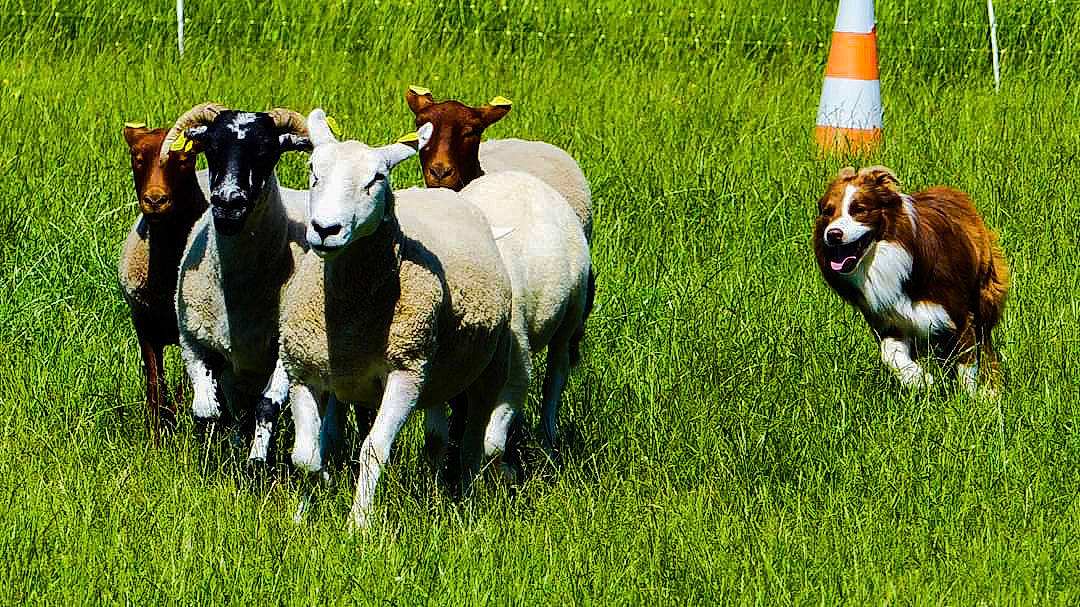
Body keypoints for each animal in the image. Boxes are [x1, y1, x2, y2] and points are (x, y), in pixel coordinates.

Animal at [118, 122, 209, 444]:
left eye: (185, 159)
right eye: (137, 158)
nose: (155, 200)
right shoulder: (144, 325)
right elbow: (155, 384)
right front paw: (158, 436)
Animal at [158, 102, 312, 466]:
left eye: (267, 151)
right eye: (211, 147)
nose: (229, 203)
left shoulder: (284, 350)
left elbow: (267, 406)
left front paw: (255, 464)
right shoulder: (194, 341)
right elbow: (209, 410)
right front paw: (219, 455)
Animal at [264, 109, 514, 530]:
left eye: (376, 178)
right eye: (313, 171)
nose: (325, 230)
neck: (351, 309)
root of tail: (440, 193)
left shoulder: (406, 373)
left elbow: (374, 450)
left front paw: (358, 525)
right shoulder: (304, 371)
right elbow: (305, 456)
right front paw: (305, 512)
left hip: (475, 367)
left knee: (468, 441)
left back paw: (459, 501)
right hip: (416, 373)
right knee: (434, 438)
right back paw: (434, 494)